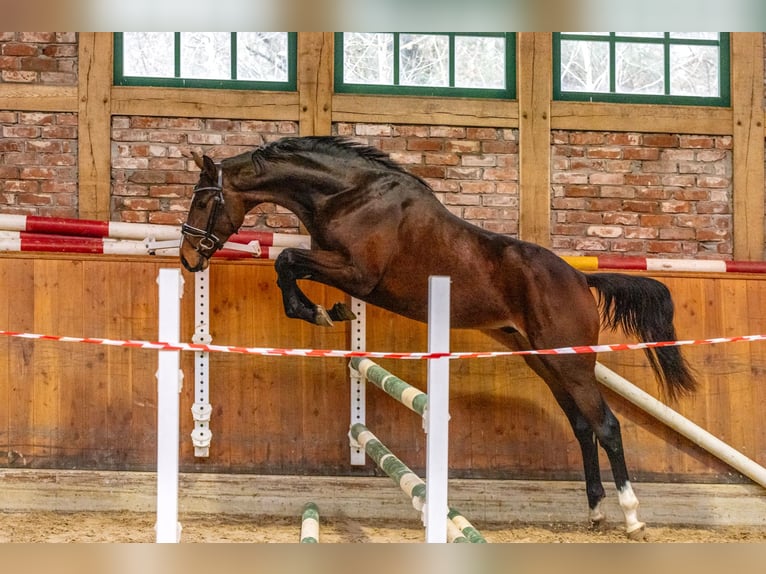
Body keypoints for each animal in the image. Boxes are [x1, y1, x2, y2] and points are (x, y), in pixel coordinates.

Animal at [178, 136, 696, 540]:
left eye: (203, 200)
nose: (188, 257)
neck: (348, 195)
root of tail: (578, 278)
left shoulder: (359, 273)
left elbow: (286, 261)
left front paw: (319, 312)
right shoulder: (339, 267)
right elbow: (288, 266)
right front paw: (327, 311)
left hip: (571, 360)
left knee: (606, 426)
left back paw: (632, 517)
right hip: (542, 359)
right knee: (583, 427)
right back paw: (595, 513)